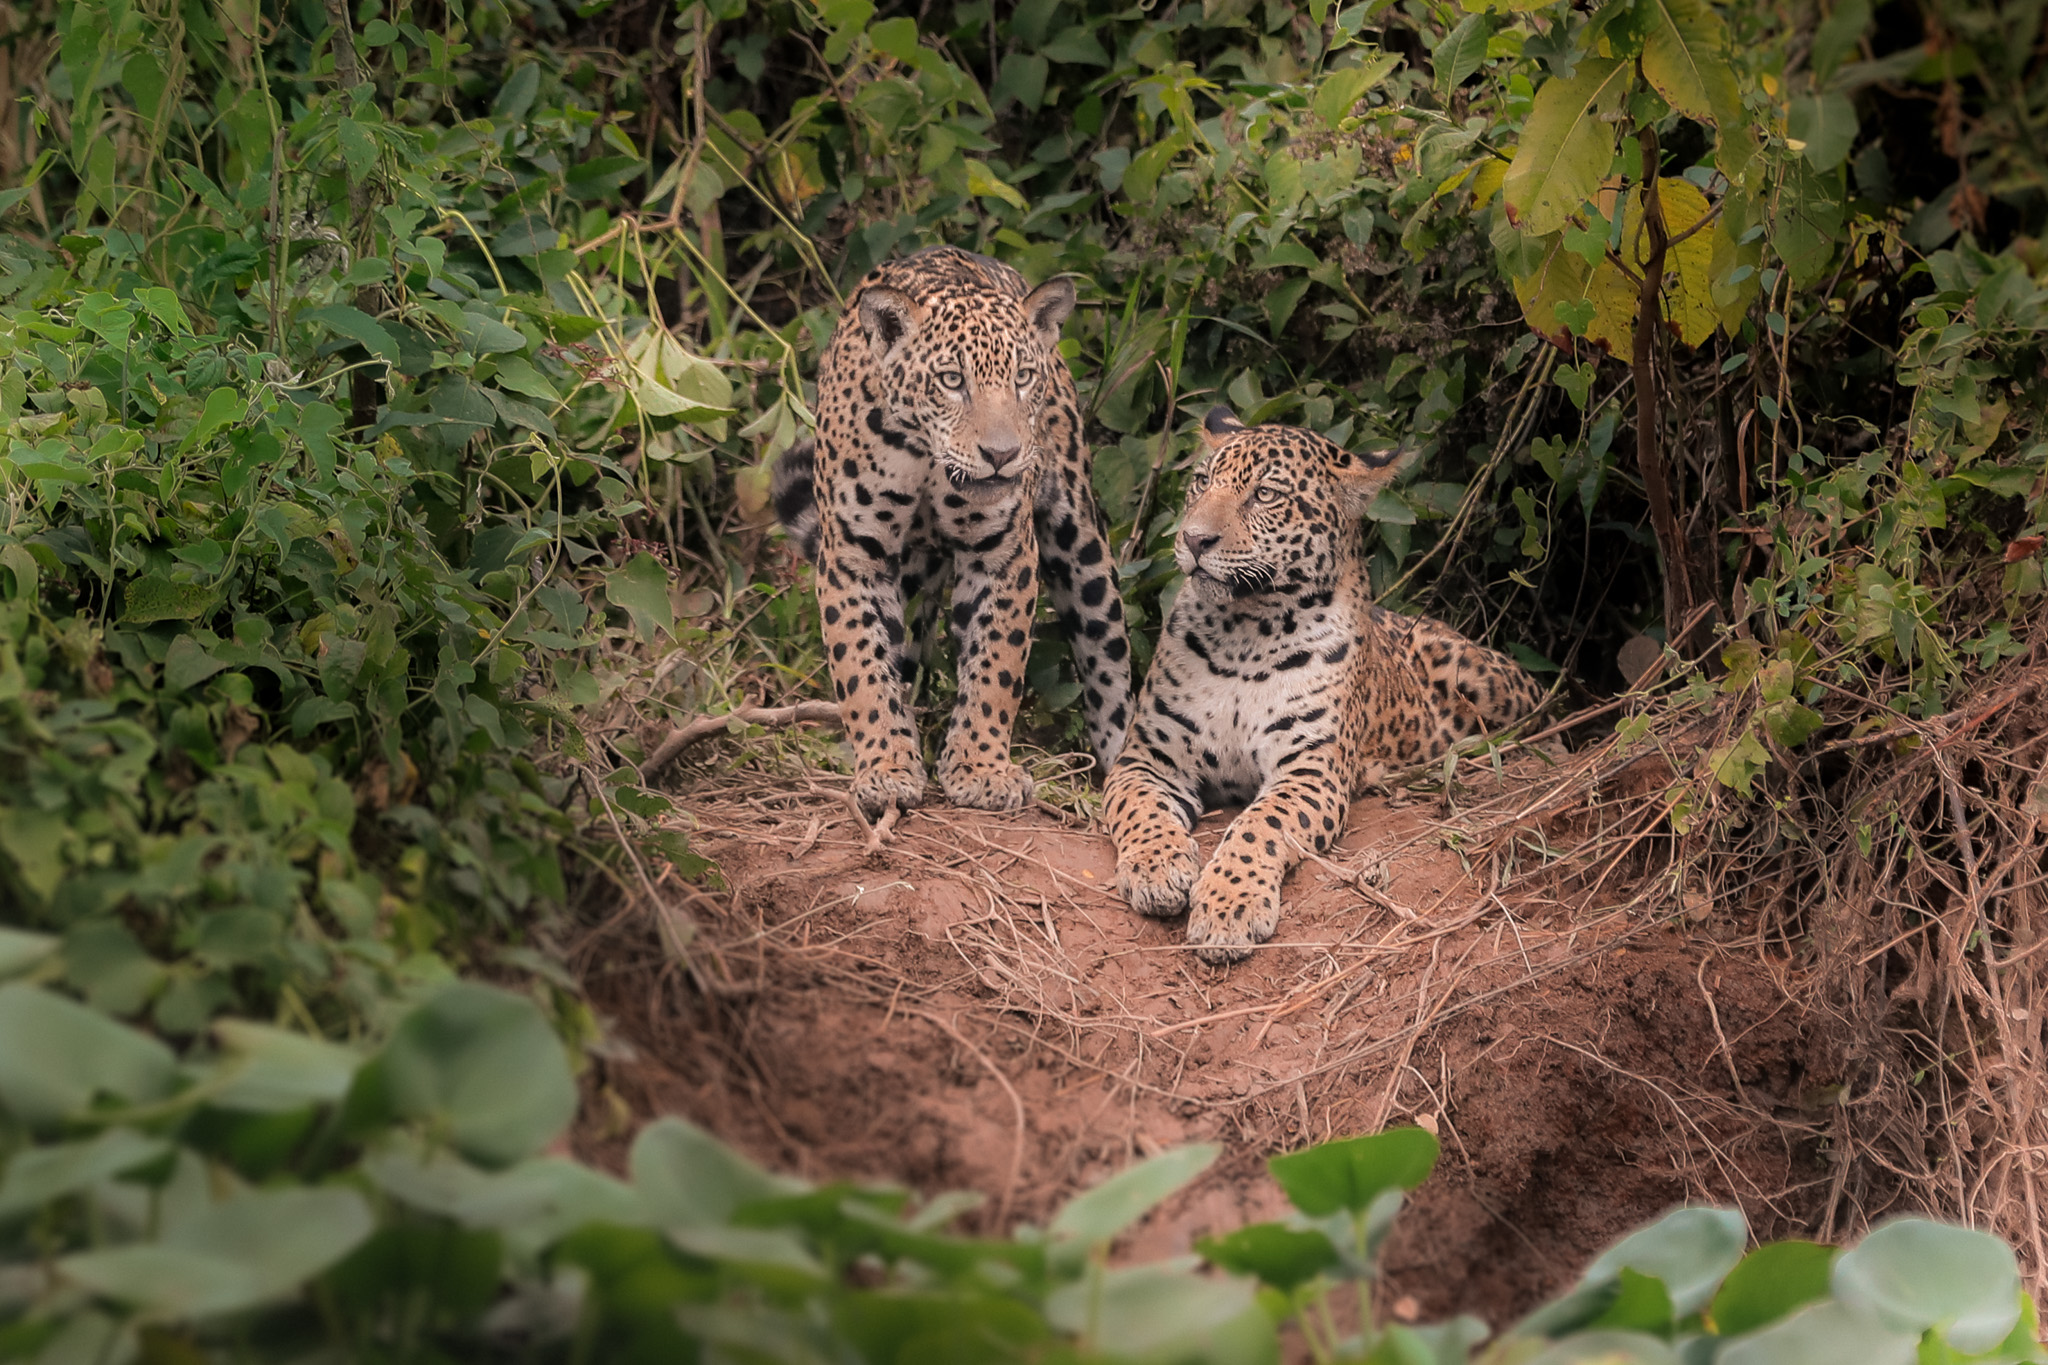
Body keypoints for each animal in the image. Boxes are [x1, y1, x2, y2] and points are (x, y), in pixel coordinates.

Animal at [773, 246, 1132, 820]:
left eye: (1023, 377)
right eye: (951, 381)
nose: (1003, 454)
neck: (925, 457)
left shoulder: (1004, 555)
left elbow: (996, 666)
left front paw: (981, 768)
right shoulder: (853, 557)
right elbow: (862, 669)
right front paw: (886, 766)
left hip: (1080, 539)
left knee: (1107, 656)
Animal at [1102, 408, 1547, 964]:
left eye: (1265, 495)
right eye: (1201, 484)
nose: (1192, 539)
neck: (1243, 633)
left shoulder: (1311, 768)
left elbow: (1258, 826)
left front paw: (1228, 907)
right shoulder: (1148, 757)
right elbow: (1138, 807)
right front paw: (1158, 868)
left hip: (1480, 675)